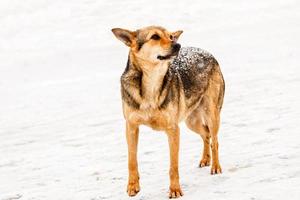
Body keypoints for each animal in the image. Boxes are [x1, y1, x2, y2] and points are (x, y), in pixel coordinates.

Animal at [111, 25, 224, 198]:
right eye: (155, 37)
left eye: (170, 36)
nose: (177, 45)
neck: (151, 83)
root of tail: (208, 53)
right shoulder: (131, 127)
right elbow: (132, 161)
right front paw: (132, 186)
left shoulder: (173, 130)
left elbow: (173, 166)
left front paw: (175, 190)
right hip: (192, 122)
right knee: (206, 135)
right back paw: (205, 160)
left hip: (211, 115)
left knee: (215, 141)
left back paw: (215, 166)